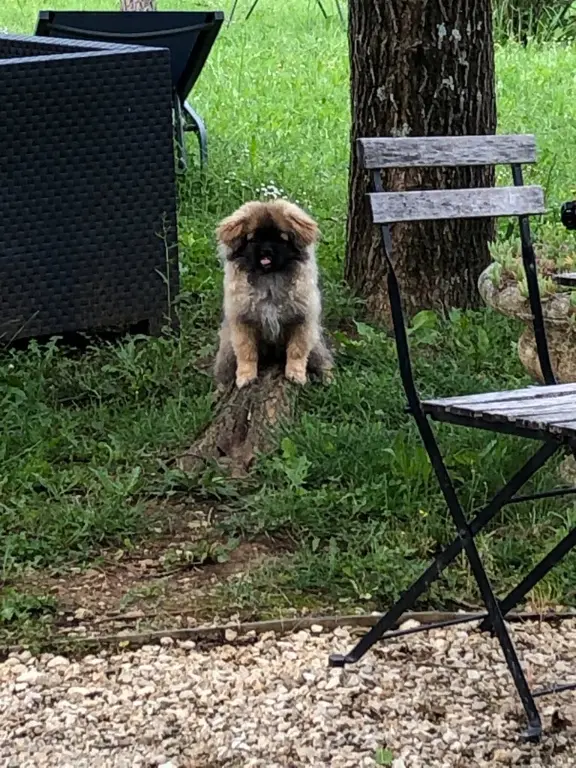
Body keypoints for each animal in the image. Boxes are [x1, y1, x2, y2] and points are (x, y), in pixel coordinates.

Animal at [215, 200, 332, 390]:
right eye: (253, 239)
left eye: (281, 239)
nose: (266, 250)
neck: (269, 280)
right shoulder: (243, 323)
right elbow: (246, 353)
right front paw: (245, 377)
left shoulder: (301, 321)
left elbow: (297, 352)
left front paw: (295, 375)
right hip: (226, 350)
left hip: (316, 345)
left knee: (323, 360)